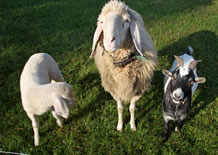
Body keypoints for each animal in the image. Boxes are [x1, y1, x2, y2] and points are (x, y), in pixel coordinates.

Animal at [89, 0, 158, 131]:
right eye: (102, 22)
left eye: (126, 21)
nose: (109, 41)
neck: (122, 65)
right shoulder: (115, 89)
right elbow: (120, 108)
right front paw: (120, 126)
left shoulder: (138, 89)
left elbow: (132, 108)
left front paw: (132, 126)